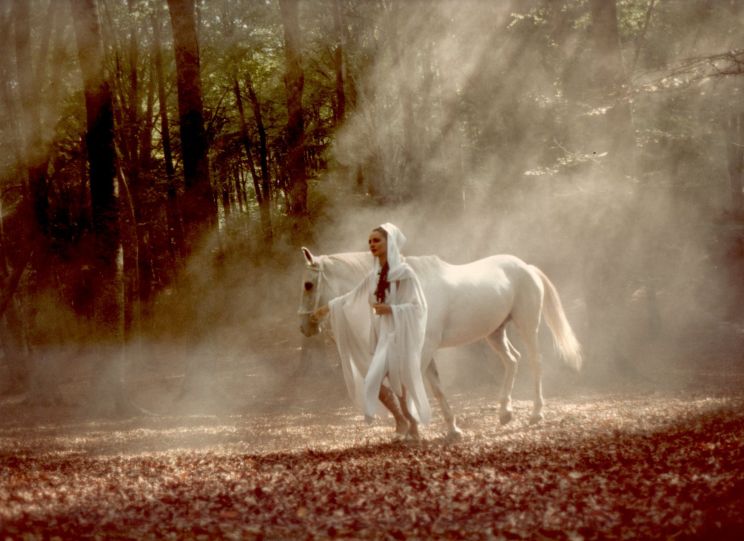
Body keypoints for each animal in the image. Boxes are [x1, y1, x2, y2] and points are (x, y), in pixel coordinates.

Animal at [296, 249, 580, 438]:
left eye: (308, 284)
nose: (304, 326)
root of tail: (527, 267)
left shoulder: (422, 350)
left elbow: (412, 386)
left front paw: (414, 427)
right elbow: (435, 388)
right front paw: (450, 429)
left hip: (527, 325)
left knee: (535, 362)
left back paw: (536, 413)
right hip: (495, 332)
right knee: (513, 361)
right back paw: (505, 413)